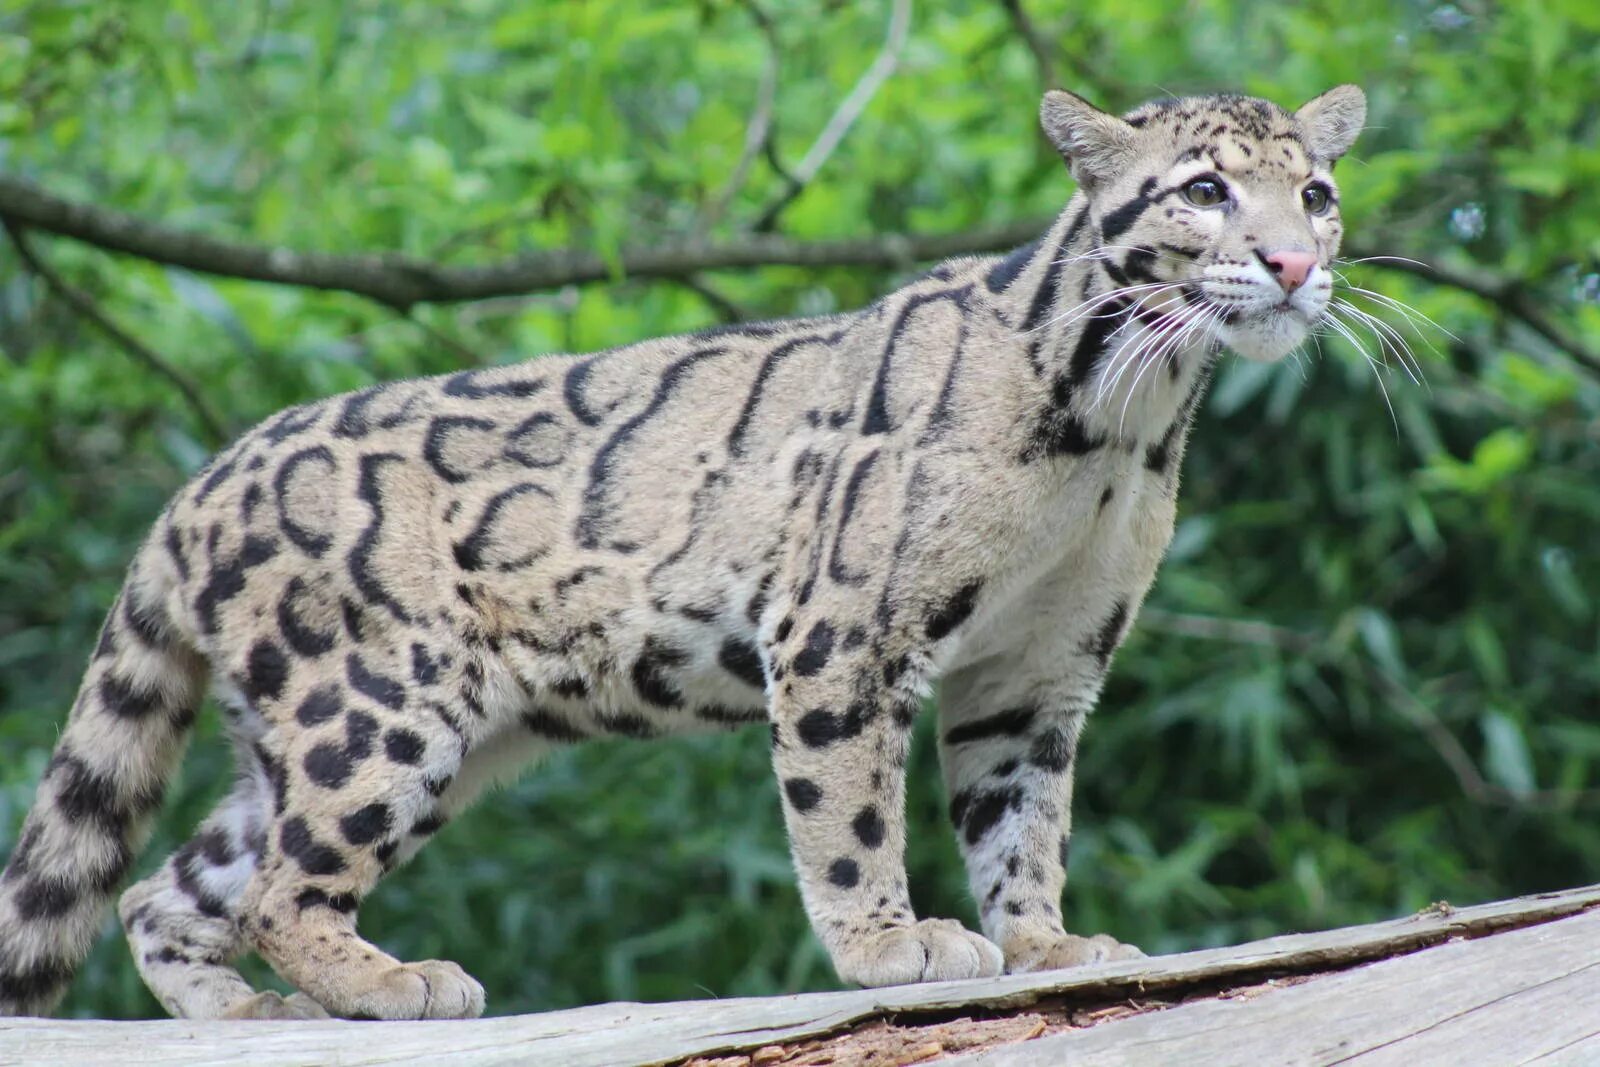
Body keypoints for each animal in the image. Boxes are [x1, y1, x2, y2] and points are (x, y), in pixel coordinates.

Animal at [3, 83, 1363, 1017]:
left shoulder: (1036, 667)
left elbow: (1020, 819)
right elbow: (849, 808)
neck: (1128, 427)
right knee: (279, 884)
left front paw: (1046, 944)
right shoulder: (844, 632)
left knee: (173, 885)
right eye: (1202, 189)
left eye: (1316, 192)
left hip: (342, 740)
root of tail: (198, 484)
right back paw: (392, 980)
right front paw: (892, 941)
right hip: (377, 705)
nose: (1297, 262)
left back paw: (246, 1010)